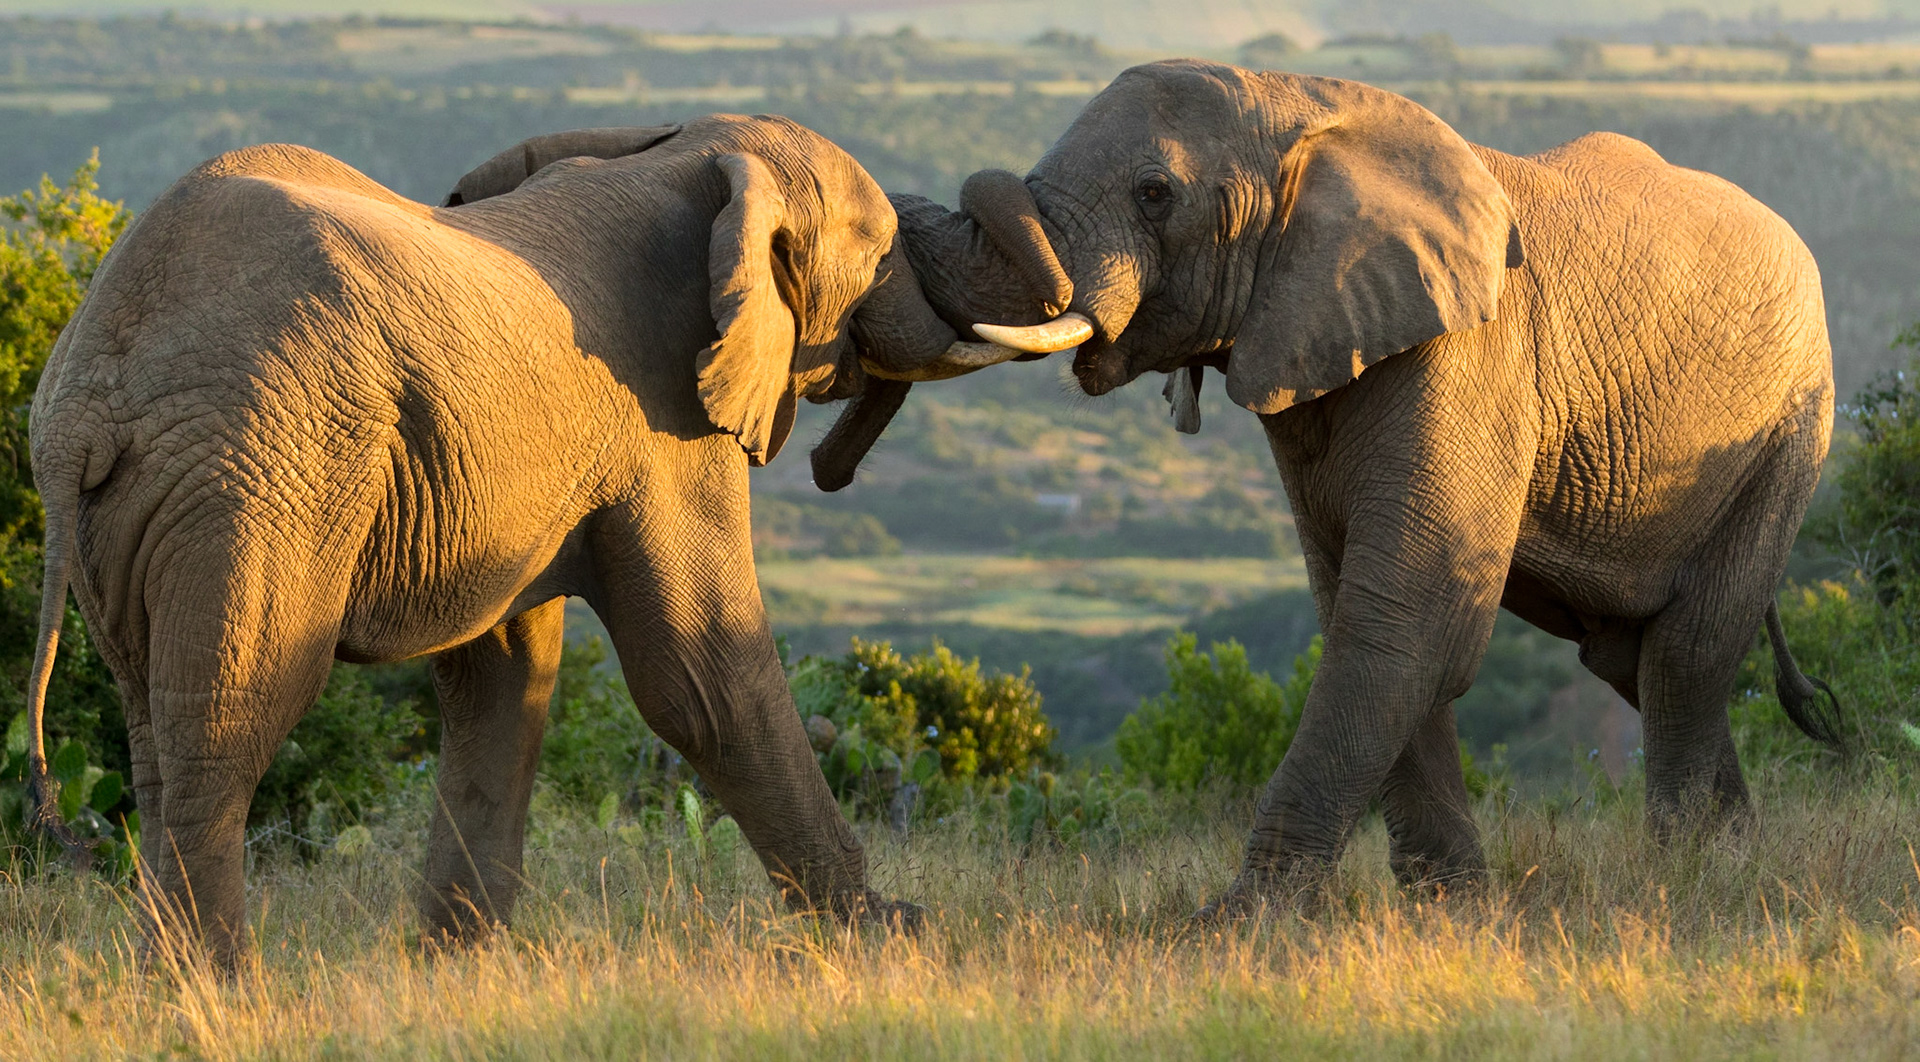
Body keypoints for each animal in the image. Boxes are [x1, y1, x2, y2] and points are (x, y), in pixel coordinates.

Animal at [21, 113, 1085, 963]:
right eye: (881, 251)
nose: (835, 462)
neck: (692, 157)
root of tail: (86, 396)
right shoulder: (664, 414)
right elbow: (701, 676)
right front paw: (895, 933)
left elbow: (507, 677)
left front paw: (456, 967)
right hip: (255, 475)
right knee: (227, 727)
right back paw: (220, 991)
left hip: (143, 513)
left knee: (152, 738)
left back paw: (166, 981)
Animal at [888, 60, 1846, 911]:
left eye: (1155, 193)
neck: (1298, 104)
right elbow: (1370, 611)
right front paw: (1452, 910)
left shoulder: (1467, 353)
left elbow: (1406, 618)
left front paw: (1239, 927)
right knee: (1631, 659)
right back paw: (1732, 856)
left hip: (1791, 427)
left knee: (1686, 653)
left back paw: (1692, 872)